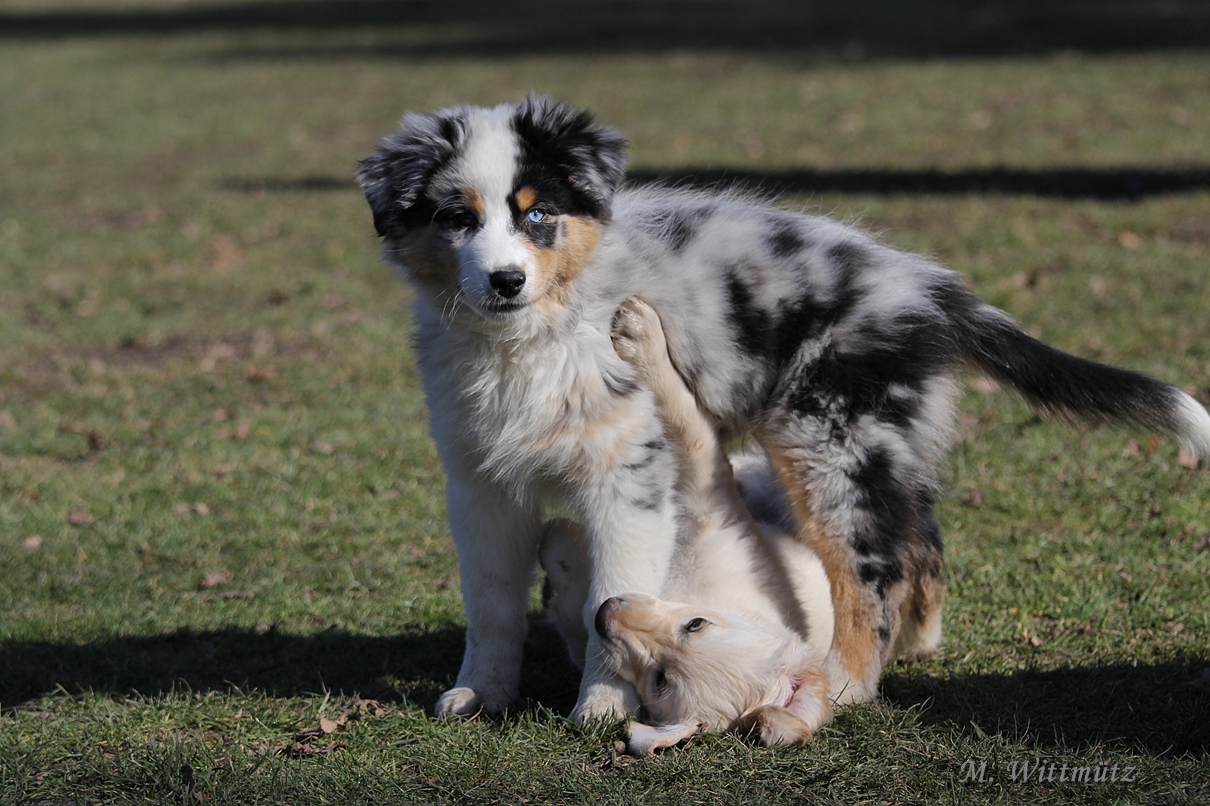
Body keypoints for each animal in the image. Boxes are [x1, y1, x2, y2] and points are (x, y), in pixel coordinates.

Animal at [542, 297, 837, 750]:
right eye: (695, 624)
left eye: (660, 680)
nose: (608, 611)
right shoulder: (717, 521)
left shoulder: (708, 495)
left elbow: (684, 421)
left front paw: (639, 335)